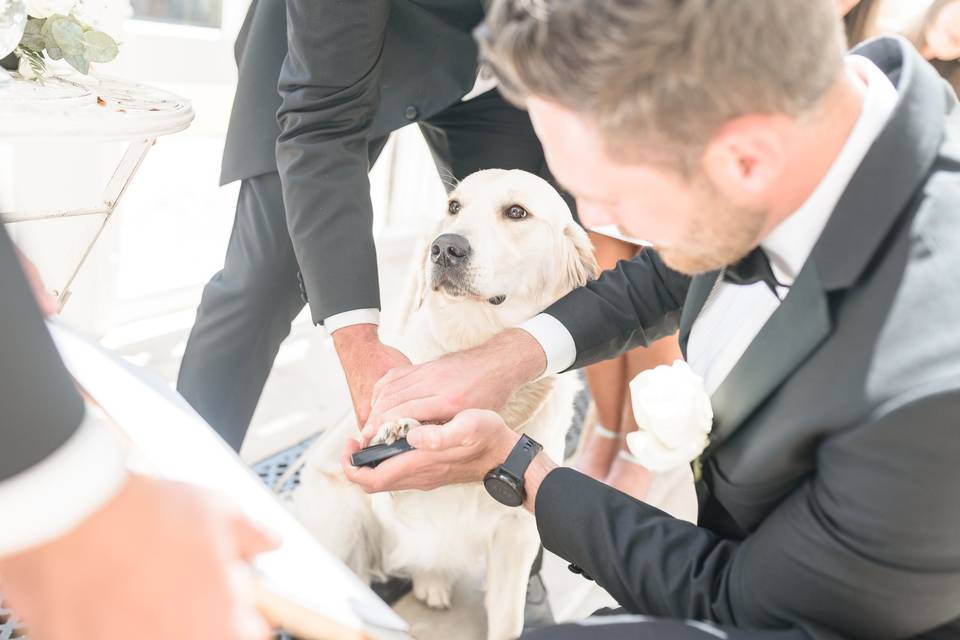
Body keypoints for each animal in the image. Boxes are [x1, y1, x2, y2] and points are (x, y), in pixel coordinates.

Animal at [288, 170, 596, 640]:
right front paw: (400, 424)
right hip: (340, 521)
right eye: (454, 206)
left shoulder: (518, 533)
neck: (473, 340)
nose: (445, 247)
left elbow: (508, 619)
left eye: (517, 212)